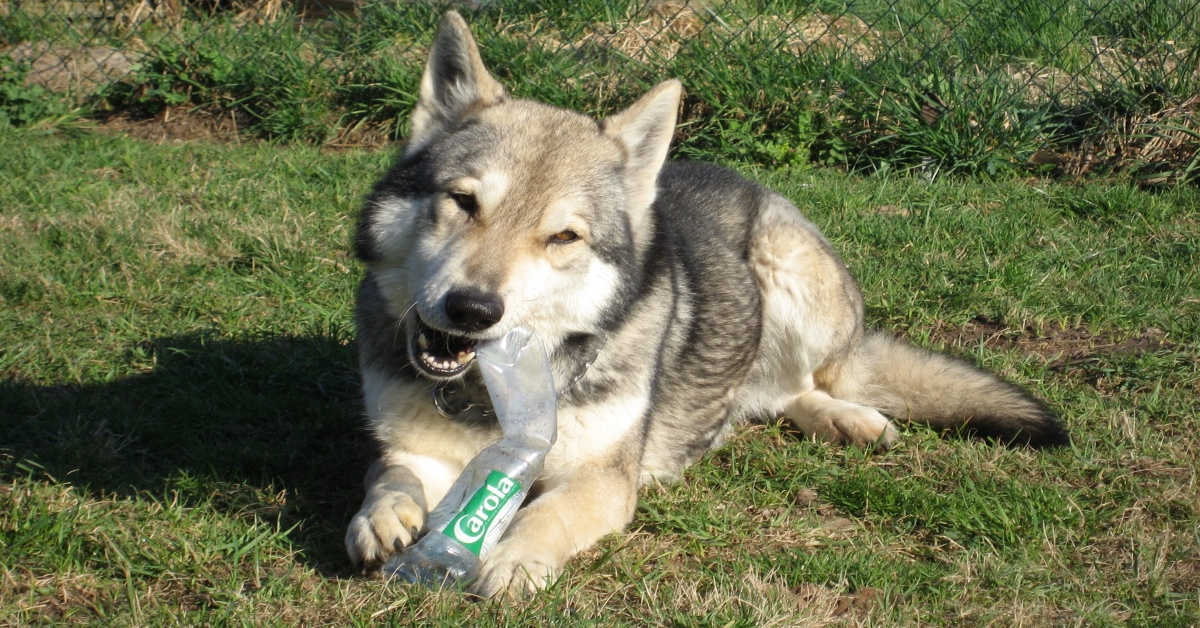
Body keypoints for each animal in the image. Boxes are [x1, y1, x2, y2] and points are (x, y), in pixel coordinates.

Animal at [340, 11, 1070, 600]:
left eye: (562, 238)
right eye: (462, 202)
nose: (472, 309)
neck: (492, 394)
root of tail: (744, 178)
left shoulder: (603, 479)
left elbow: (546, 514)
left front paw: (515, 559)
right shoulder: (415, 451)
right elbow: (388, 476)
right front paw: (382, 517)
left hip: (789, 279)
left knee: (806, 383)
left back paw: (851, 418)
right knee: (773, 398)